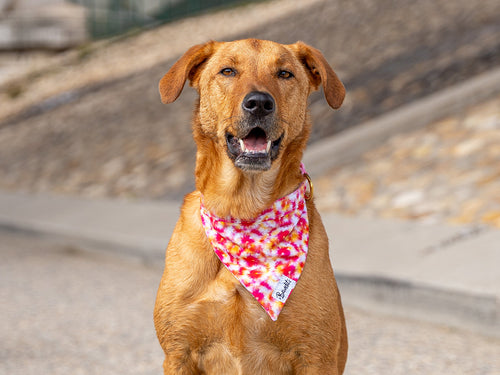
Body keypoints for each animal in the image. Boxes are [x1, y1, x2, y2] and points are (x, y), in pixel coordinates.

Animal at [155, 39, 348, 374]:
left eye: (284, 73)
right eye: (227, 71)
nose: (259, 103)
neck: (243, 211)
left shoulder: (315, 356)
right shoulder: (178, 353)